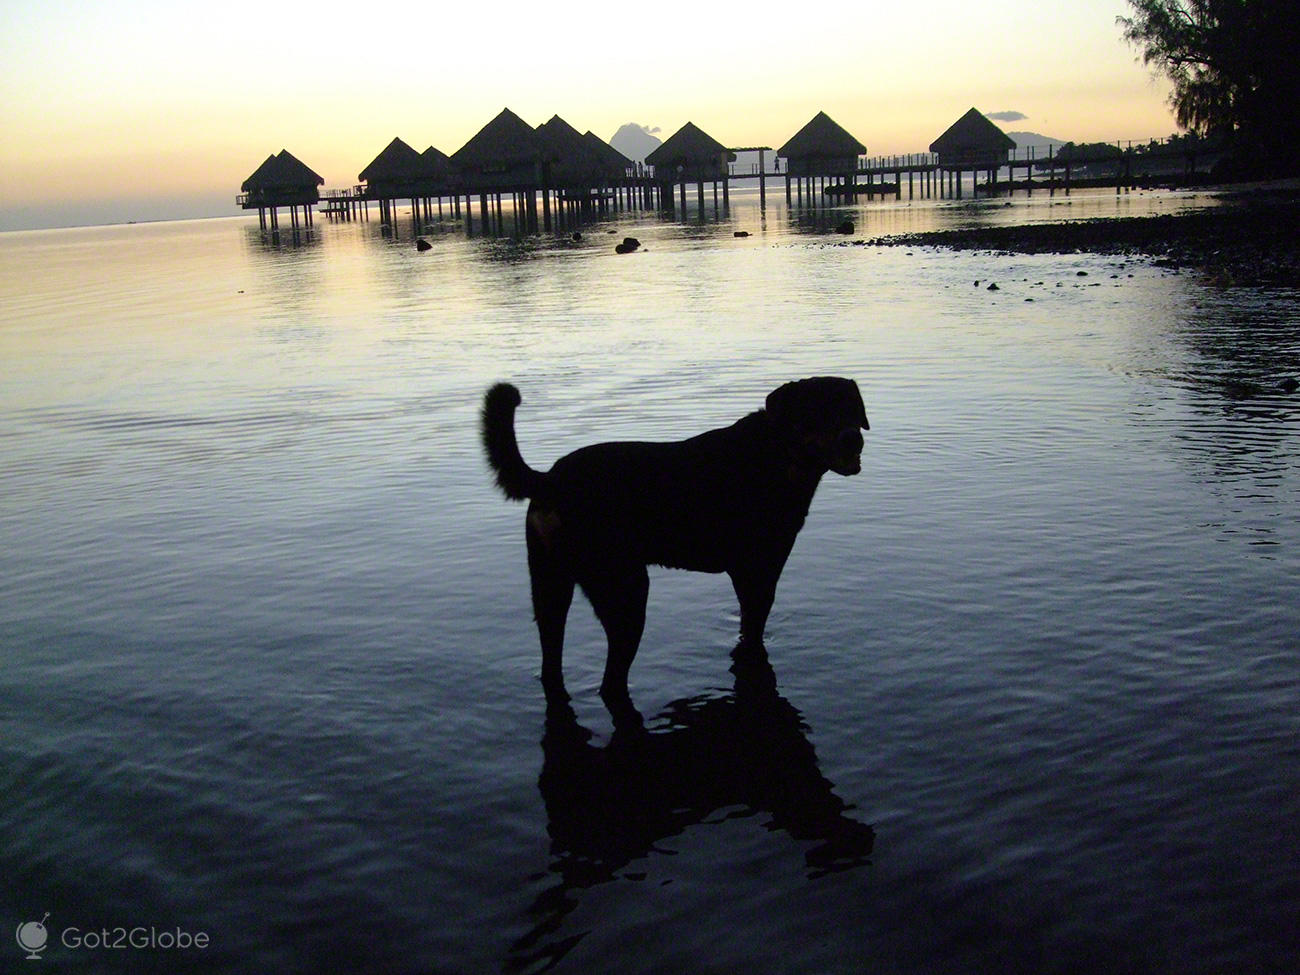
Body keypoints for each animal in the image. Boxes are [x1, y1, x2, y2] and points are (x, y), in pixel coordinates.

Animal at [483, 377, 868, 712]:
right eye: (815, 413)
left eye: (851, 409)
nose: (853, 439)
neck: (778, 456)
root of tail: (549, 481)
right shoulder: (758, 573)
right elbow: (754, 627)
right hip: (625, 592)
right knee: (611, 677)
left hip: (550, 587)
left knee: (552, 660)